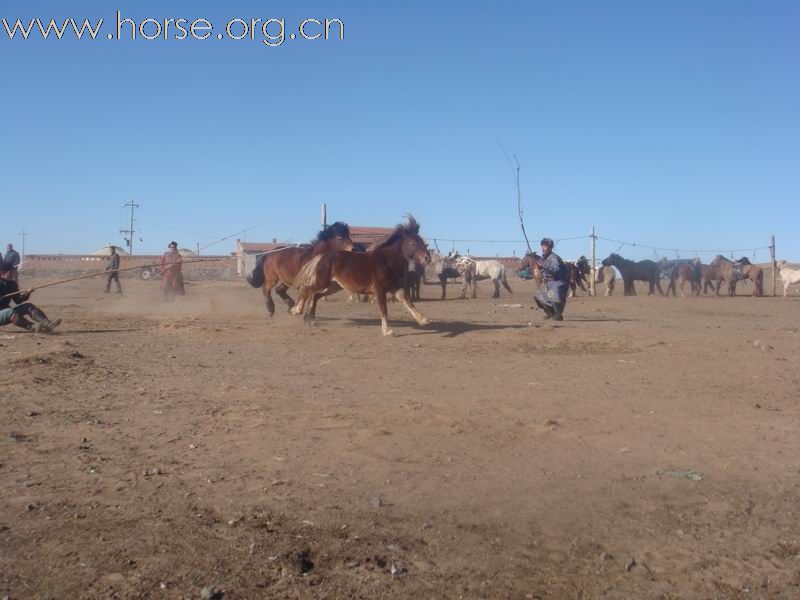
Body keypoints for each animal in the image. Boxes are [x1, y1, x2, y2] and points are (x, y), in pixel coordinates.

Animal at [294, 216, 432, 338]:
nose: (427, 258)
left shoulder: (395, 288)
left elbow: (407, 301)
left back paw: (310, 320)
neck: (386, 261)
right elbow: (383, 309)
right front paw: (387, 331)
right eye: (413, 242)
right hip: (322, 282)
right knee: (307, 290)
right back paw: (296, 310)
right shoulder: (379, 289)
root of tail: (322, 256)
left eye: (422, 241)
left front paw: (423, 320)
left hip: (334, 286)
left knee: (316, 295)